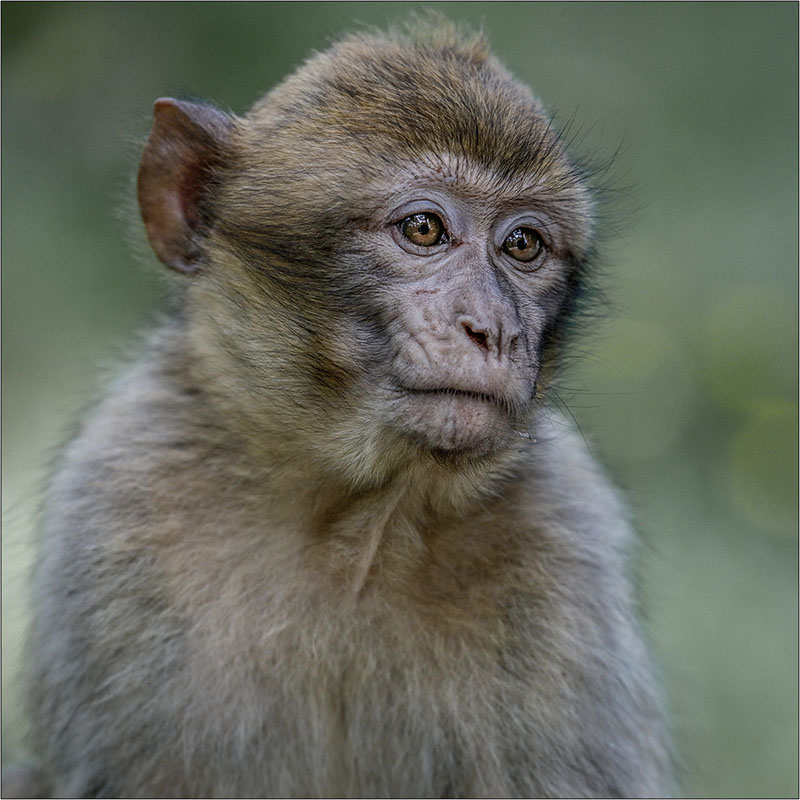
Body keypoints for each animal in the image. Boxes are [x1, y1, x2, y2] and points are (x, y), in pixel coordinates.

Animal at [13, 22, 673, 799]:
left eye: (522, 244)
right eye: (424, 230)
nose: (494, 330)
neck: (358, 523)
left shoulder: (567, 539)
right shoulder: (119, 501)